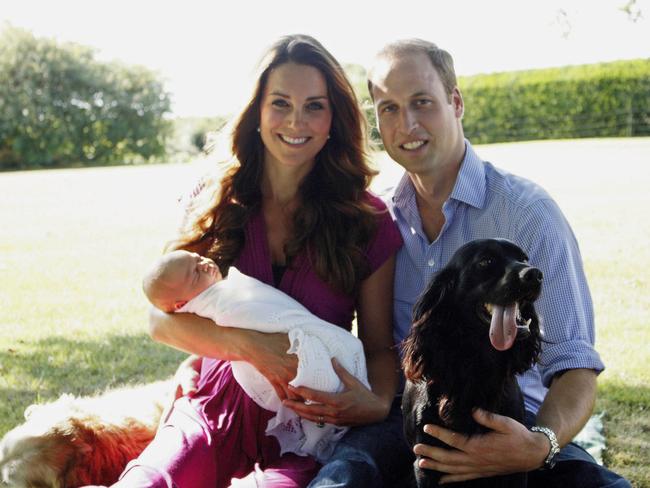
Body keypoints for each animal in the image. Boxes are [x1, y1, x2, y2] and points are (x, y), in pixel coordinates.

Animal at [400, 238, 540, 486]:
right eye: (486, 261)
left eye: (524, 258)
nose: (535, 274)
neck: (477, 363)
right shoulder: (425, 462)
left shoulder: (515, 460)